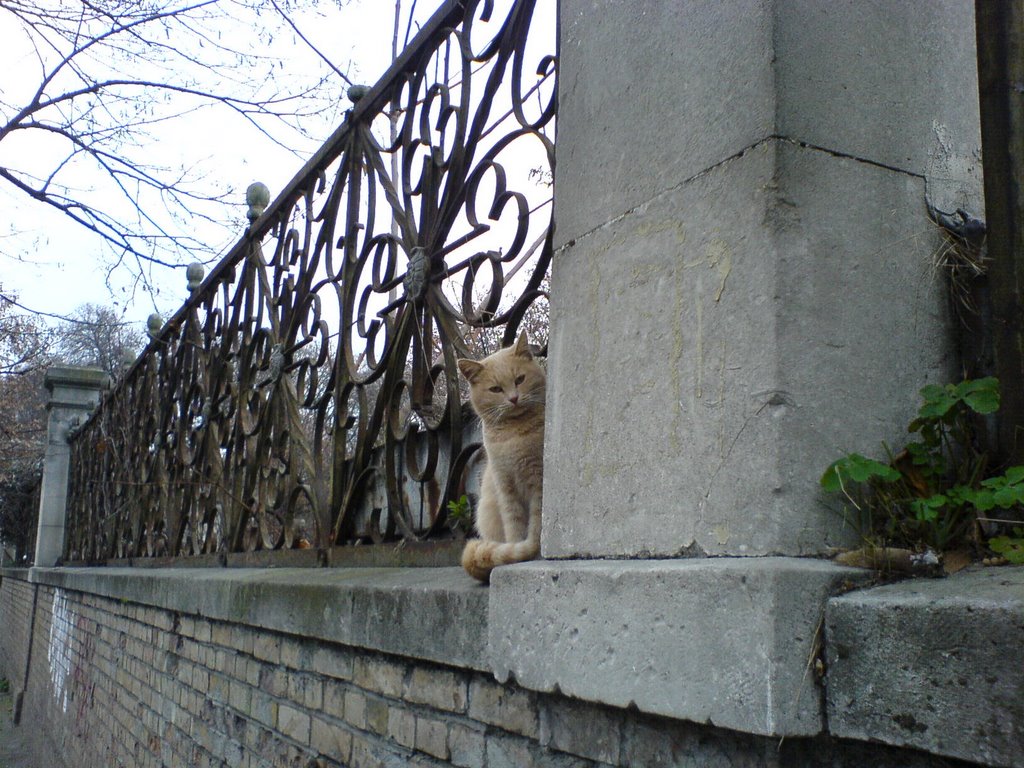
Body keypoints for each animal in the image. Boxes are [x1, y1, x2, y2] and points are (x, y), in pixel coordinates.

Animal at [460, 333, 548, 585]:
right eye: (496, 389)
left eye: (520, 379)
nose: (514, 398)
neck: (513, 436)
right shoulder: (505, 485)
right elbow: (514, 525)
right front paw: (518, 553)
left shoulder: (538, 481)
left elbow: (536, 520)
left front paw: (534, 551)